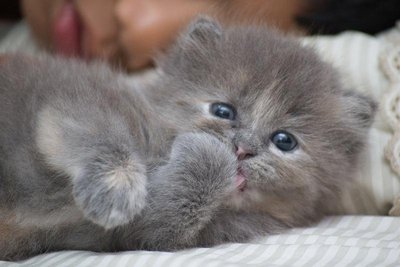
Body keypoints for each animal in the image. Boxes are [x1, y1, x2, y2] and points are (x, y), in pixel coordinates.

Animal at [0, 17, 376, 260]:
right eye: (223, 111)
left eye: (284, 141)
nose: (242, 148)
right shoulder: (74, 93)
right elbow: (98, 131)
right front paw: (116, 190)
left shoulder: (139, 235)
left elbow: (161, 221)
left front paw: (205, 155)